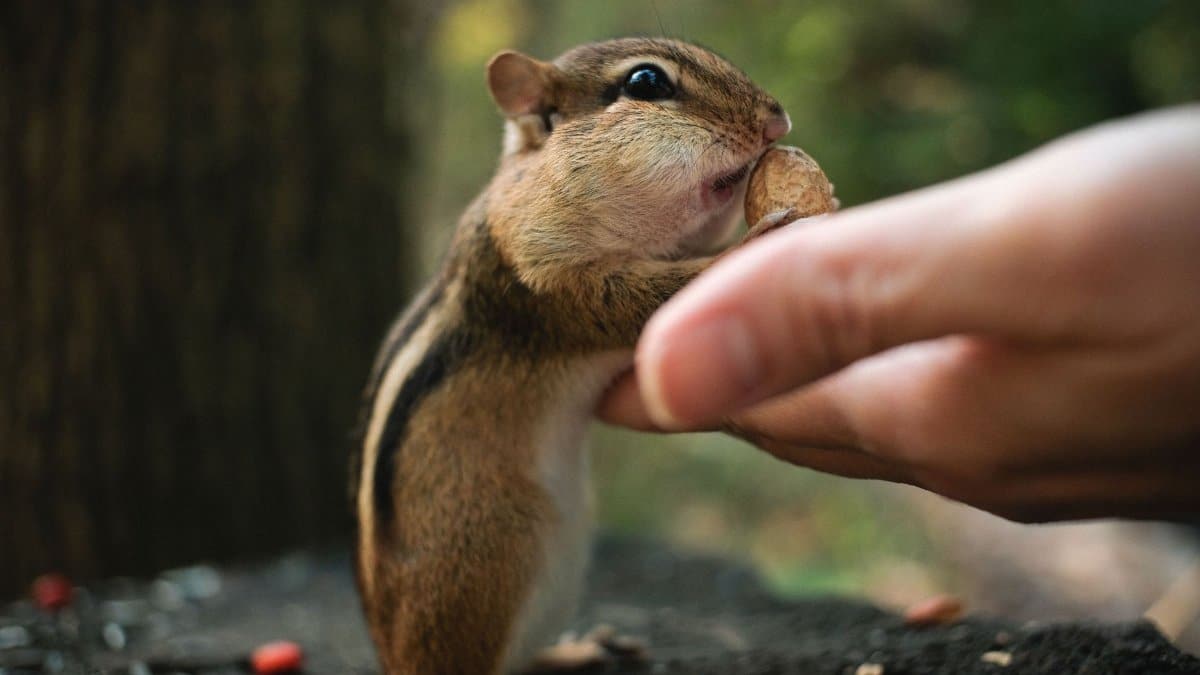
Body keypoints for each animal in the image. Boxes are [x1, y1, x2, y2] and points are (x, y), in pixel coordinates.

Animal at [351, 37, 792, 675]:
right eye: (646, 82)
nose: (777, 121)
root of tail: (396, 662)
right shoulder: (544, 280)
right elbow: (640, 297)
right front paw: (751, 245)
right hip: (495, 553)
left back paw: (584, 649)